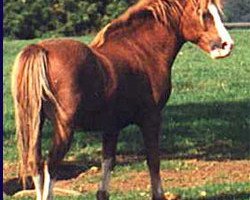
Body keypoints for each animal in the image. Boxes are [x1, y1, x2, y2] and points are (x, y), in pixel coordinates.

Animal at [11, 0, 234, 200]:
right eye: (204, 13)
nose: (227, 45)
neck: (142, 50)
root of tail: (40, 49)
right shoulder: (151, 119)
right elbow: (153, 161)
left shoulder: (111, 127)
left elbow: (107, 164)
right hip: (64, 129)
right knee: (51, 166)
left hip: (35, 125)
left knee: (36, 165)